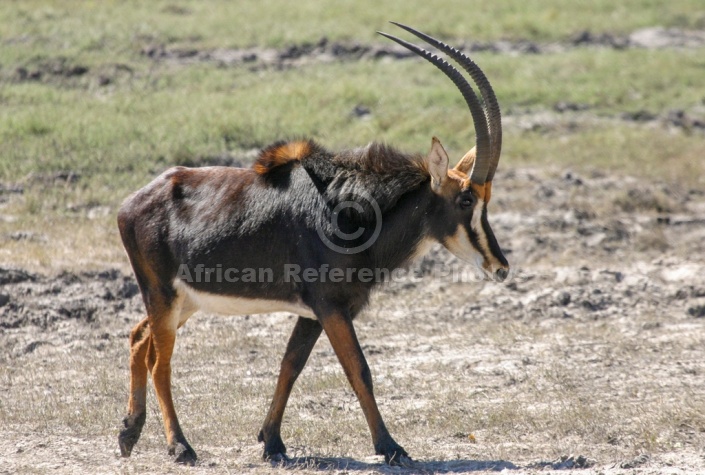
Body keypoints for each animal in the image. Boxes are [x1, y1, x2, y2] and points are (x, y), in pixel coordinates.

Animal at [118, 22, 508, 464]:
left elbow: (291, 365)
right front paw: (391, 447)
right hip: (164, 296)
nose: (500, 267)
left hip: (183, 301)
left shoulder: (313, 313)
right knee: (159, 361)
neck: (355, 213)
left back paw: (128, 434)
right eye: (466, 200)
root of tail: (131, 203)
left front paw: (271, 442)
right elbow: (359, 370)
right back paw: (180, 446)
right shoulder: (331, 307)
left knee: (139, 338)